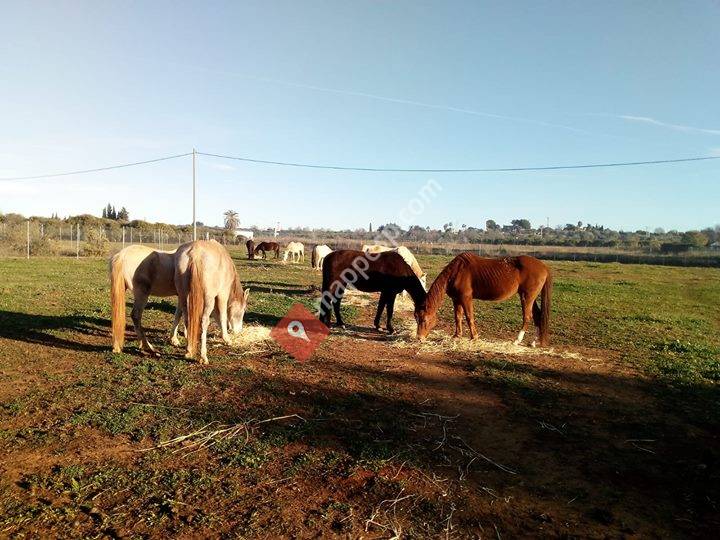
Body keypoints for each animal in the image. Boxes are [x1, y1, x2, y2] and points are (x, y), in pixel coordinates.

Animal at [414, 253, 552, 346]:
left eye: (424, 319)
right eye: (416, 318)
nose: (419, 338)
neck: (456, 272)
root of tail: (544, 266)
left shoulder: (466, 298)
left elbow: (469, 317)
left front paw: (474, 337)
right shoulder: (456, 300)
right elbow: (457, 317)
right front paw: (457, 336)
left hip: (527, 297)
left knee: (527, 317)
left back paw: (517, 340)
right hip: (531, 298)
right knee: (537, 316)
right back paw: (533, 342)